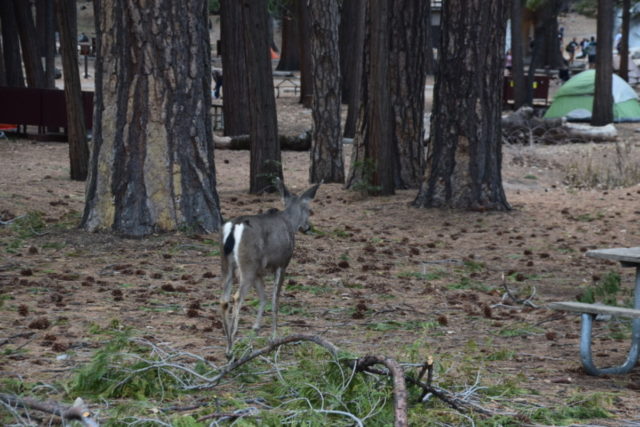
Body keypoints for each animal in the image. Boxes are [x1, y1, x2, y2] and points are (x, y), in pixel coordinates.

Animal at [220, 179, 320, 356]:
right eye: (309, 210)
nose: (308, 227)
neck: (289, 222)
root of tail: (234, 227)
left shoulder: (259, 272)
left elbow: (263, 298)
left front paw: (254, 333)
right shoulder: (282, 263)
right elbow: (275, 300)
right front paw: (274, 338)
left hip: (228, 264)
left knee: (224, 299)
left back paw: (228, 347)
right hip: (248, 264)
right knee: (237, 297)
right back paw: (232, 347)